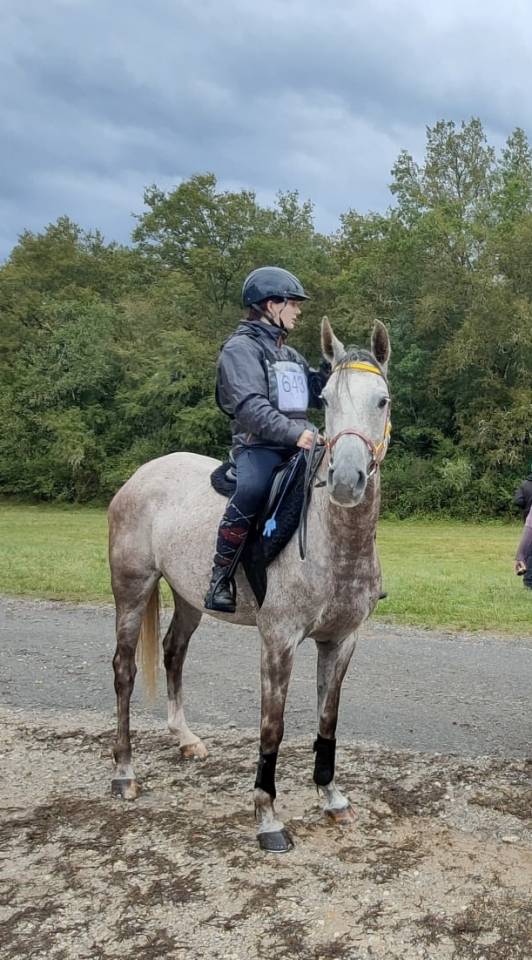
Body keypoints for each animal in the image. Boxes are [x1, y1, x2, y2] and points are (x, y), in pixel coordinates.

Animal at [108, 317, 391, 853]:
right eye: (327, 401)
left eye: (381, 400)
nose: (346, 481)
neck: (333, 542)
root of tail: (140, 475)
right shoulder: (278, 641)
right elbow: (272, 728)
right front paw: (267, 817)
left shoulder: (341, 640)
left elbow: (327, 720)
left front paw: (332, 798)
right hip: (132, 591)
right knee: (124, 671)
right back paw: (124, 773)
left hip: (189, 597)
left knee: (174, 652)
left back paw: (185, 738)